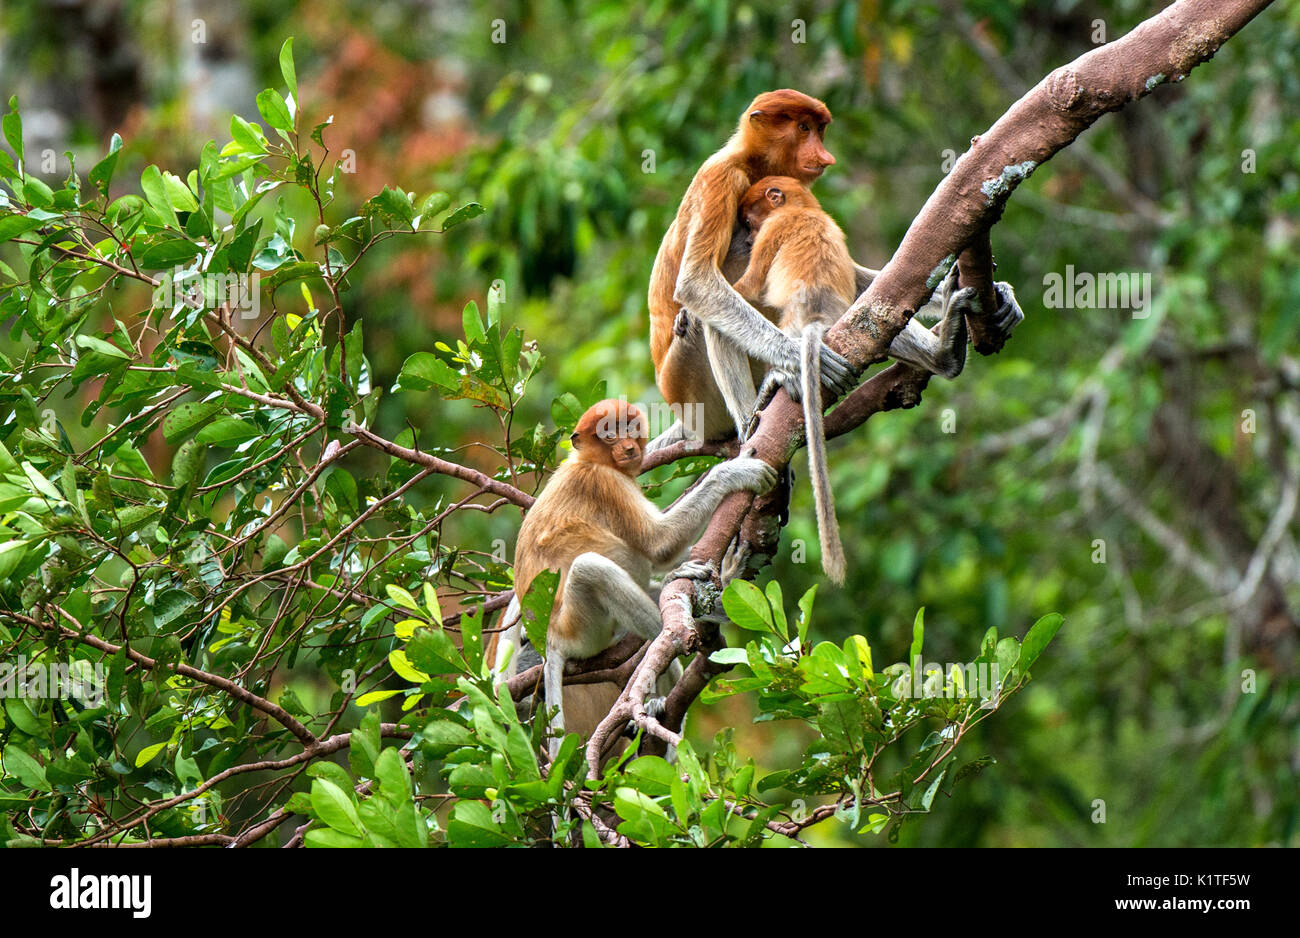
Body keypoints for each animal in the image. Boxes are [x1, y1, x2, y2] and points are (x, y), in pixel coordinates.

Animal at [491, 399, 777, 759]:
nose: (628, 447)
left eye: (628, 428)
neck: (590, 460)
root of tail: (549, 638)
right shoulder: (606, 483)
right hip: (582, 631)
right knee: (593, 569)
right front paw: (736, 471)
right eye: (609, 435)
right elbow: (659, 544)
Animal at [647, 88, 1024, 453]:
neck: (753, 164)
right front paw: (797, 358)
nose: (825, 157)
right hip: (693, 393)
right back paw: (751, 421)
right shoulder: (722, 177)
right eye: (803, 128)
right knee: (699, 318)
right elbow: (697, 282)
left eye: (819, 130)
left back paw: (945, 355)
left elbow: (851, 276)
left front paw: (996, 294)